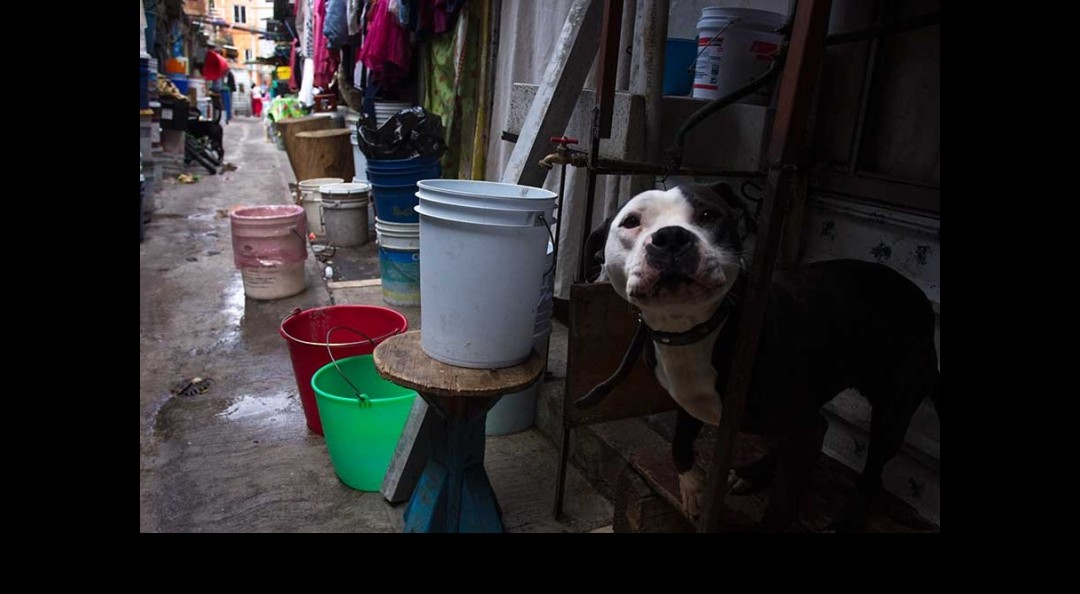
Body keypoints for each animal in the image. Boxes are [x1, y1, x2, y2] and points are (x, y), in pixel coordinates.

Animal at [578, 183, 941, 533]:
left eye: (708, 214)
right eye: (631, 222)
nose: (671, 237)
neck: (696, 328)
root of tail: (917, 294)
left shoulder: (804, 425)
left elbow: (782, 506)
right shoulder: (689, 400)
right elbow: (679, 443)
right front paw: (693, 490)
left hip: (893, 408)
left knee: (873, 470)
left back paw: (846, 519)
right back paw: (752, 473)